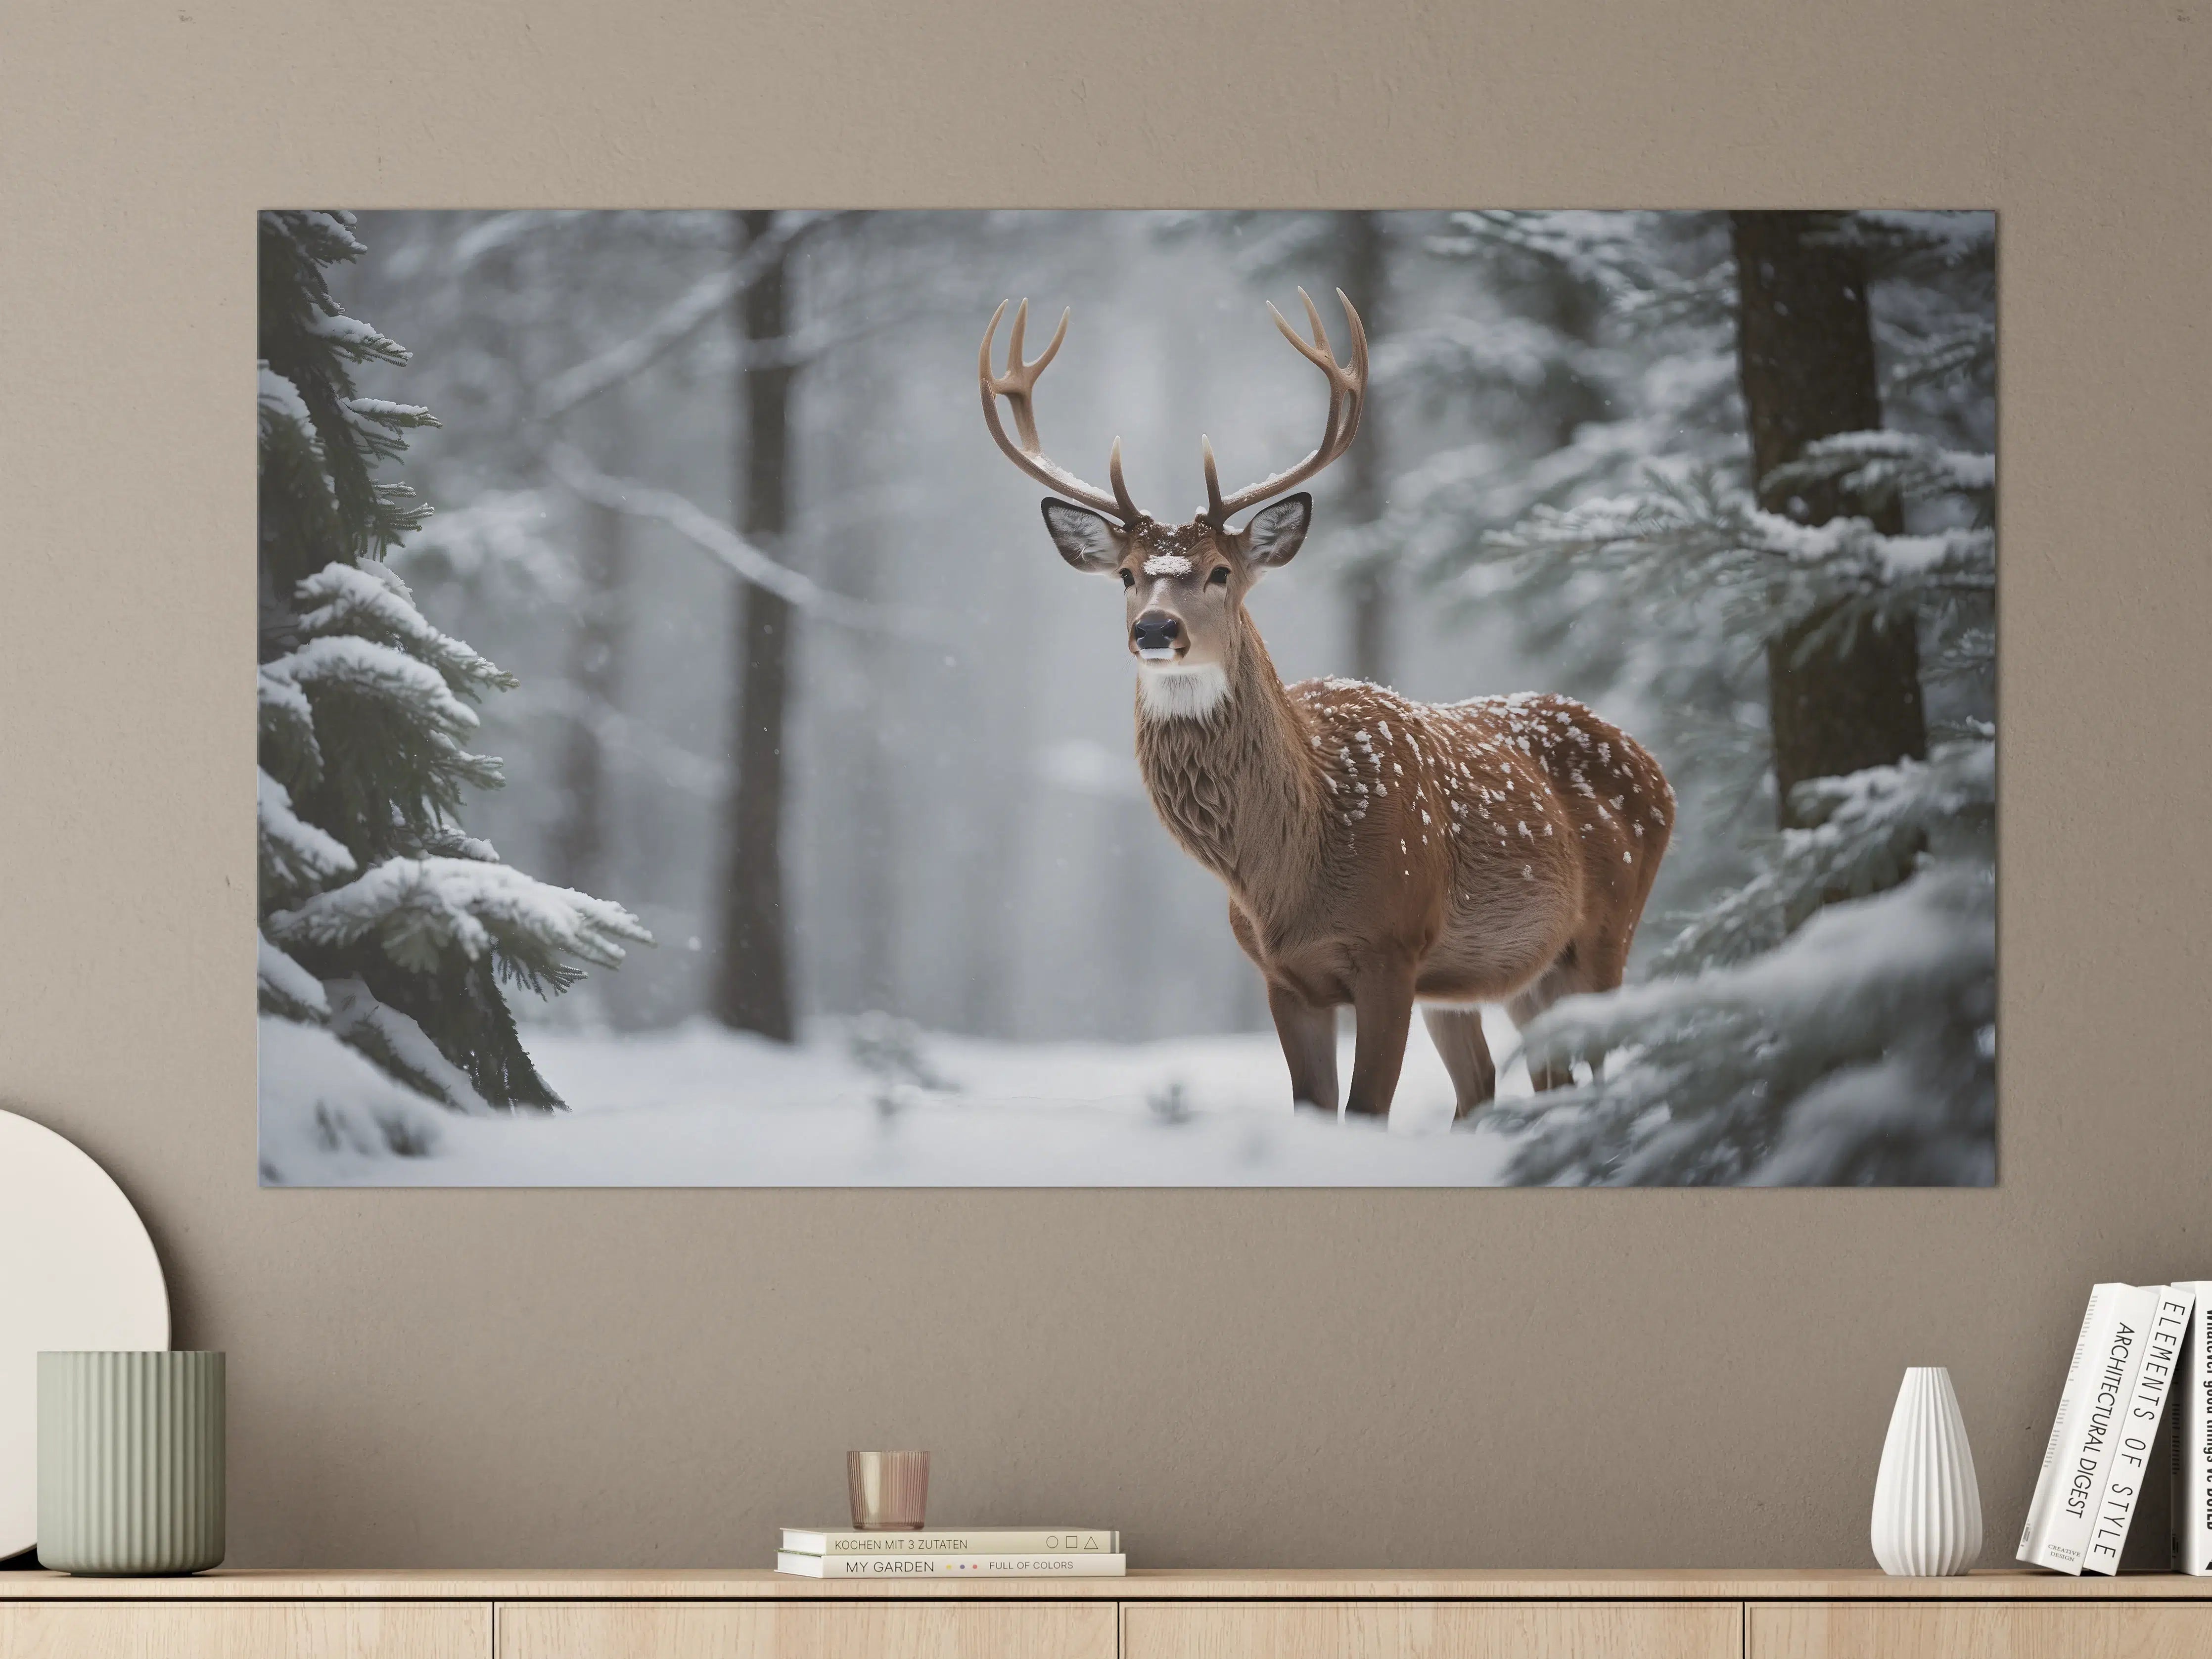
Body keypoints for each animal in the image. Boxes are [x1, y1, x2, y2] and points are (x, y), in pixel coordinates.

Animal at [980, 290, 1675, 1121]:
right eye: (1126, 574)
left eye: (1220, 572)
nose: (1155, 628)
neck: (1290, 864)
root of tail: (1657, 770)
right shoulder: (1284, 976)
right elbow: (1314, 1106)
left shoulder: (1392, 947)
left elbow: (1366, 1110)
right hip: (1496, 975)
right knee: (1504, 1083)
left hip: (1606, 932)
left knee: (1601, 1069)